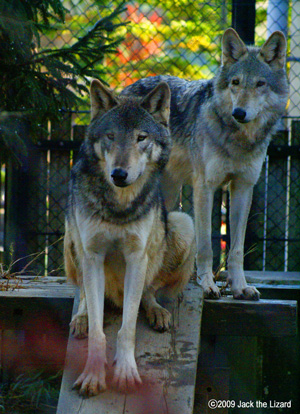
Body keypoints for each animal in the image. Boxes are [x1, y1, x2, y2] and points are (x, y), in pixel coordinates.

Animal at [63, 79, 195, 396]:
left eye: (141, 138)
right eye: (111, 136)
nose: (119, 174)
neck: (118, 207)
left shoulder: (136, 257)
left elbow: (128, 329)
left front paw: (125, 372)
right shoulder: (93, 255)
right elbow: (99, 332)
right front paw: (93, 375)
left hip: (183, 225)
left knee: (148, 292)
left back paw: (157, 312)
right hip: (71, 238)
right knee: (83, 294)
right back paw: (81, 319)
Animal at [123, 29, 290, 300]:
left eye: (260, 84)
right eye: (235, 83)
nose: (239, 113)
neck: (237, 140)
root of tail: (129, 87)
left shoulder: (243, 188)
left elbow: (236, 249)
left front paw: (240, 287)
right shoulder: (205, 187)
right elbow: (205, 245)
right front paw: (207, 285)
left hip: (170, 193)